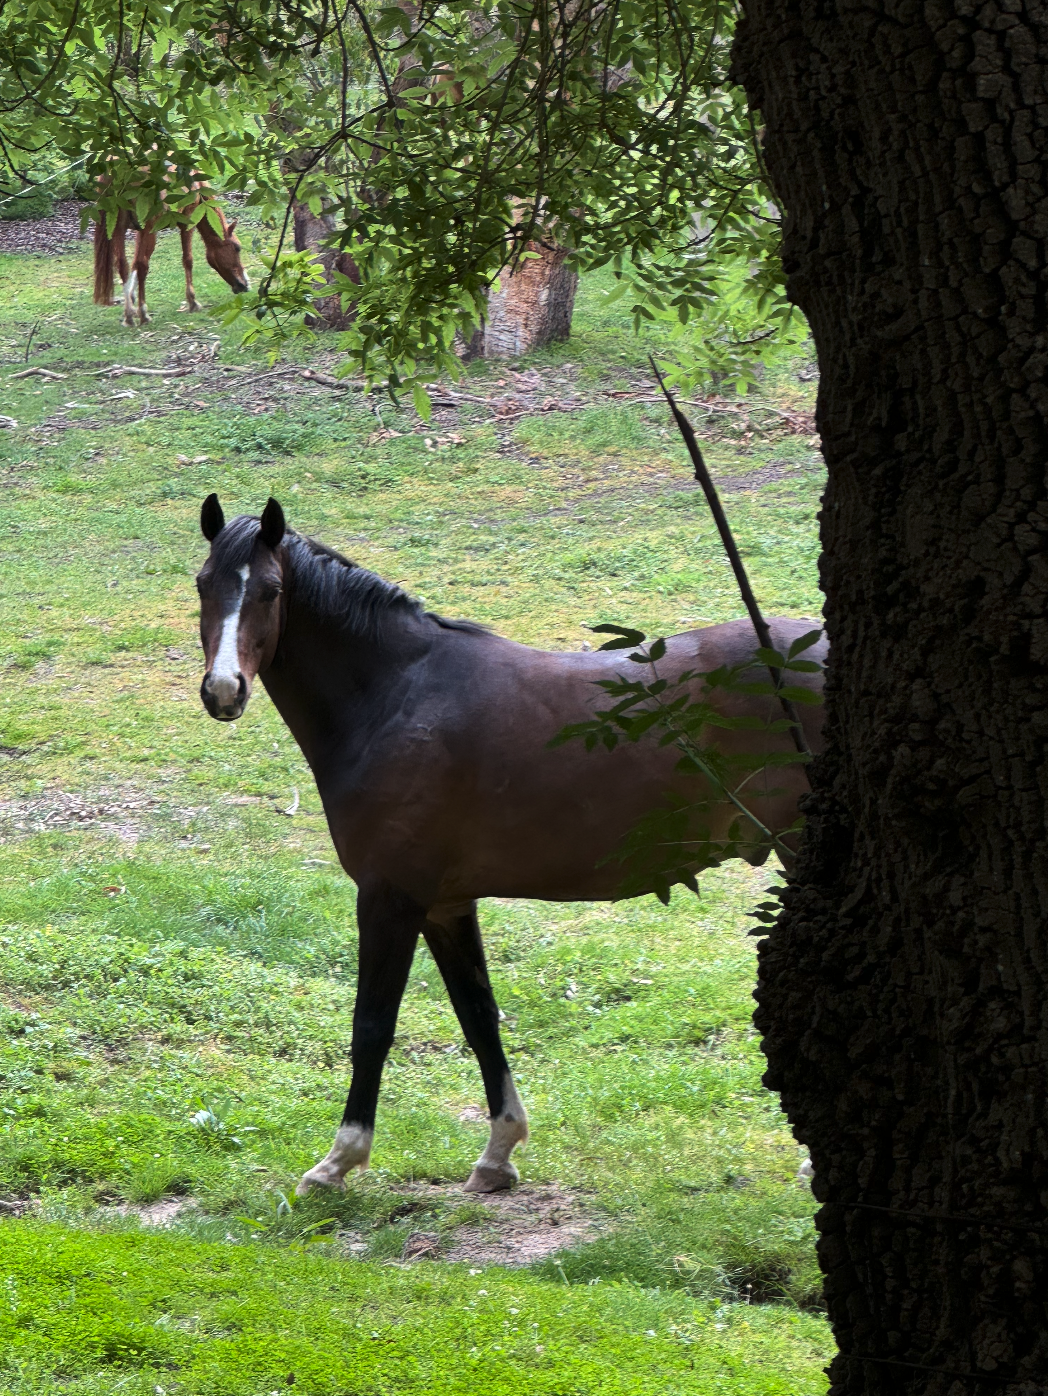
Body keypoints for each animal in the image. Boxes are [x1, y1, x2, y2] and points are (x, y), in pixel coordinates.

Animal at [93, 170, 249, 328]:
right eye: (237, 248)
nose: (244, 285)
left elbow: (133, 266)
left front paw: (131, 301)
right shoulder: (187, 221)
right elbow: (187, 259)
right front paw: (193, 302)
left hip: (118, 227)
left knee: (122, 265)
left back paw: (129, 316)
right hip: (147, 228)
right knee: (142, 264)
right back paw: (143, 314)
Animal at [194, 495, 826, 1196]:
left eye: (271, 591)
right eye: (203, 584)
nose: (224, 691)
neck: (397, 696)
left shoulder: (390, 899)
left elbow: (372, 1026)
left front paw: (338, 1161)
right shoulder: (445, 905)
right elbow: (479, 1017)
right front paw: (499, 1152)